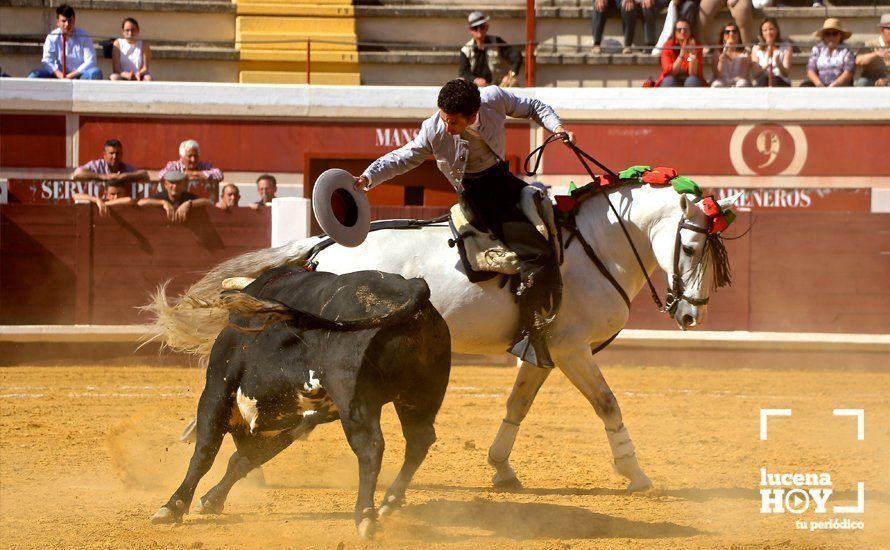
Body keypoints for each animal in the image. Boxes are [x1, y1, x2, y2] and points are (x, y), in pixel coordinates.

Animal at [151, 181, 736, 496]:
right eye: (690, 248)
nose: (692, 315)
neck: (596, 244)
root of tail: (322, 246)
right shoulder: (571, 347)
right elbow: (608, 403)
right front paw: (634, 472)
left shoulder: (542, 349)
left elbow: (517, 405)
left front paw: (501, 469)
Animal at [152, 268, 450, 540]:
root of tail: (409, 287)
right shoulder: (302, 417)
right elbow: (245, 459)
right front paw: (211, 500)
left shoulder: (217, 387)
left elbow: (205, 453)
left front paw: (173, 507)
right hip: (420, 395)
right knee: (419, 439)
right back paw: (390, 501)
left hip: (355, 400)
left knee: (371, 447)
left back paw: (365, 516)